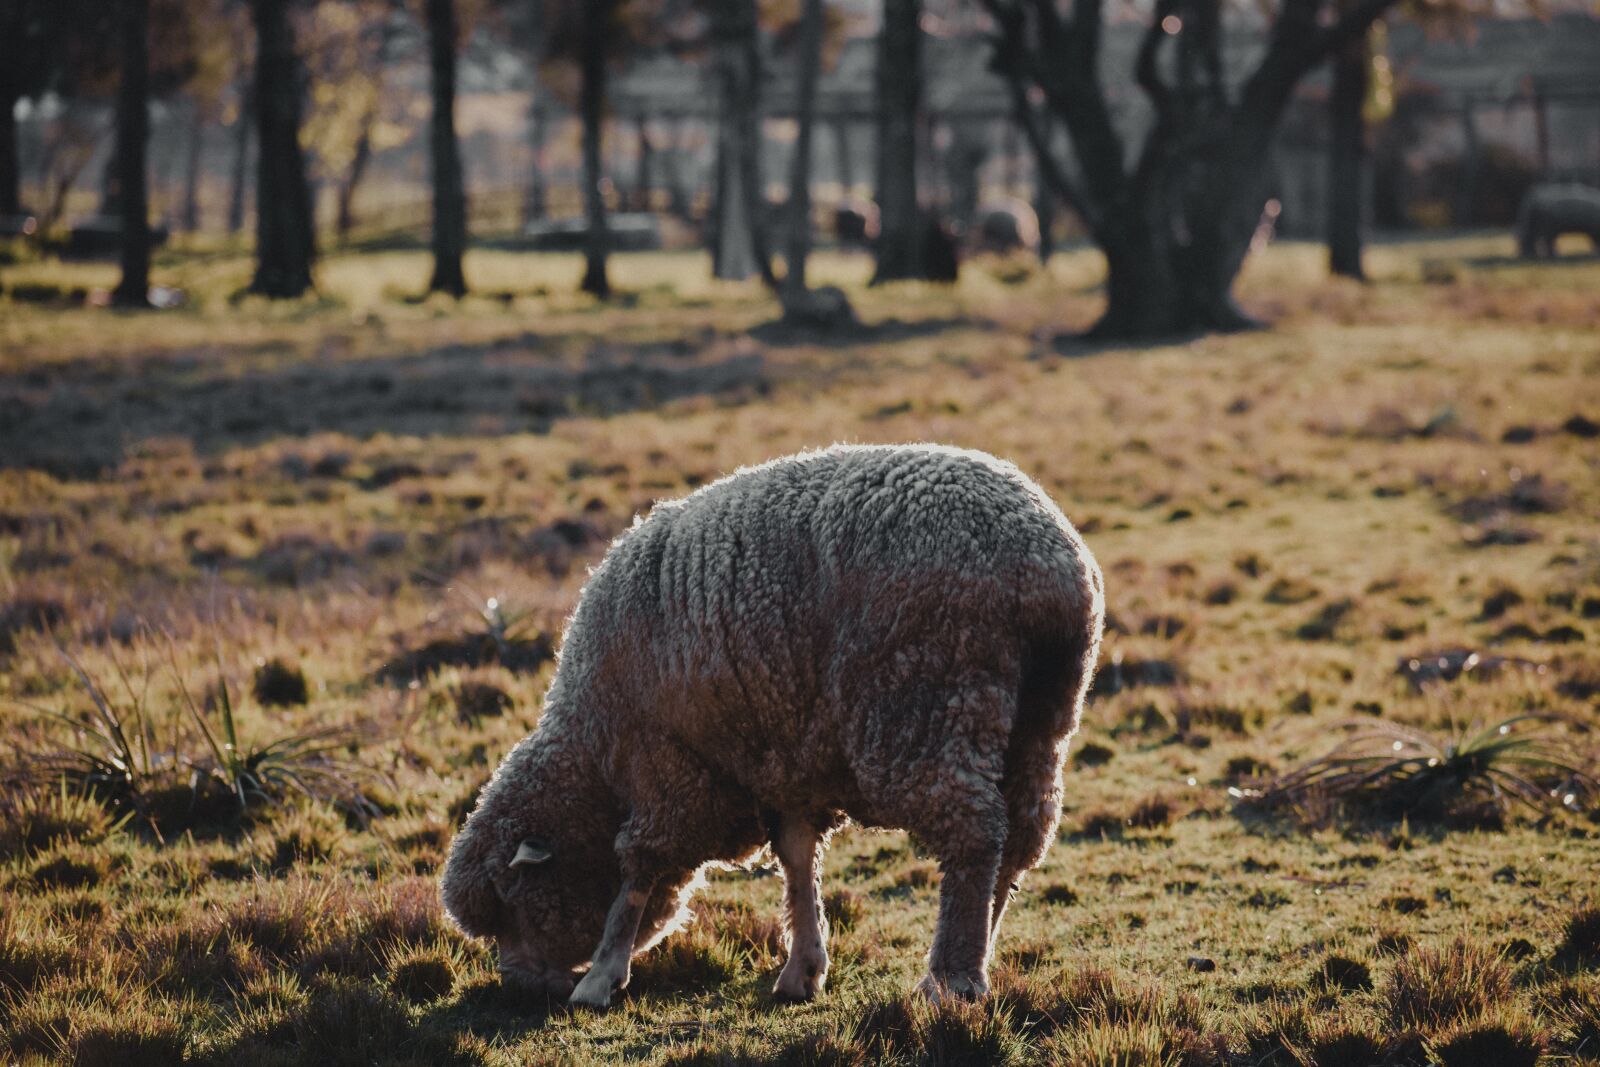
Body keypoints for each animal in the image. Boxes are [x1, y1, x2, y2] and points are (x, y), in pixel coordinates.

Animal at [440, 443, 1104, 1009]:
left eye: (511, 902)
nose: (515, 984)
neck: (594, 755)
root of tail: (1047, 562)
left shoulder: (666, 764)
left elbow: (638, 868)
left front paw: (602, 973)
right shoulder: (784, 762)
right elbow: (796, 857)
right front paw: (803, 968)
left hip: (929, 702)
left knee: (973, 832)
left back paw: (950, 978)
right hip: (1040, 717)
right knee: (1021, 836)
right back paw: (981, 953)